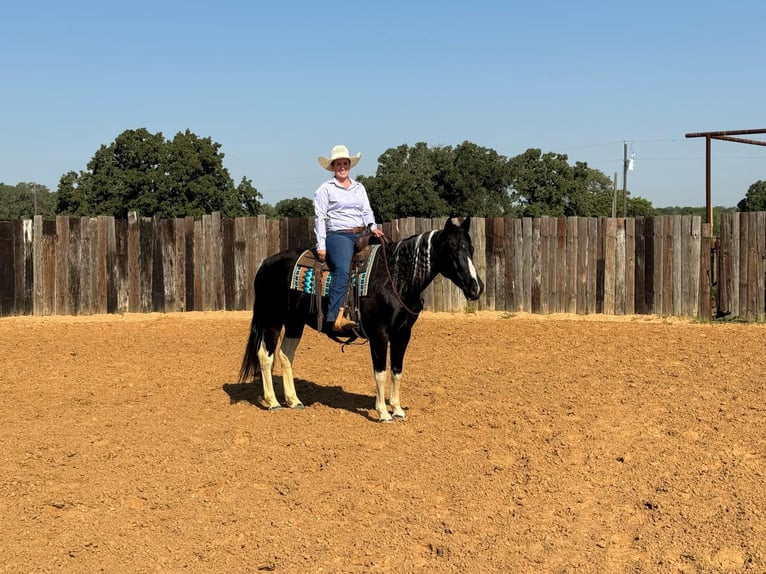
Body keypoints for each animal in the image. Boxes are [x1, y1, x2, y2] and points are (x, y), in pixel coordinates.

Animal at [238, 216, 484, 422]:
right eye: (452, 249)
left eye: (470, 248)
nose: (476, 287)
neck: (395, 277)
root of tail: (265, 263)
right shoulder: (379, 334)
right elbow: (381, 373)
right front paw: (383, 413)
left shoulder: (402, 334)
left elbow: (397, 371)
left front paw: (398, 410)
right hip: (272, 319)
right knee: (265, 356)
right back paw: (273, 402)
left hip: (294, 322)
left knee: (285, 355)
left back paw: (294, 400)